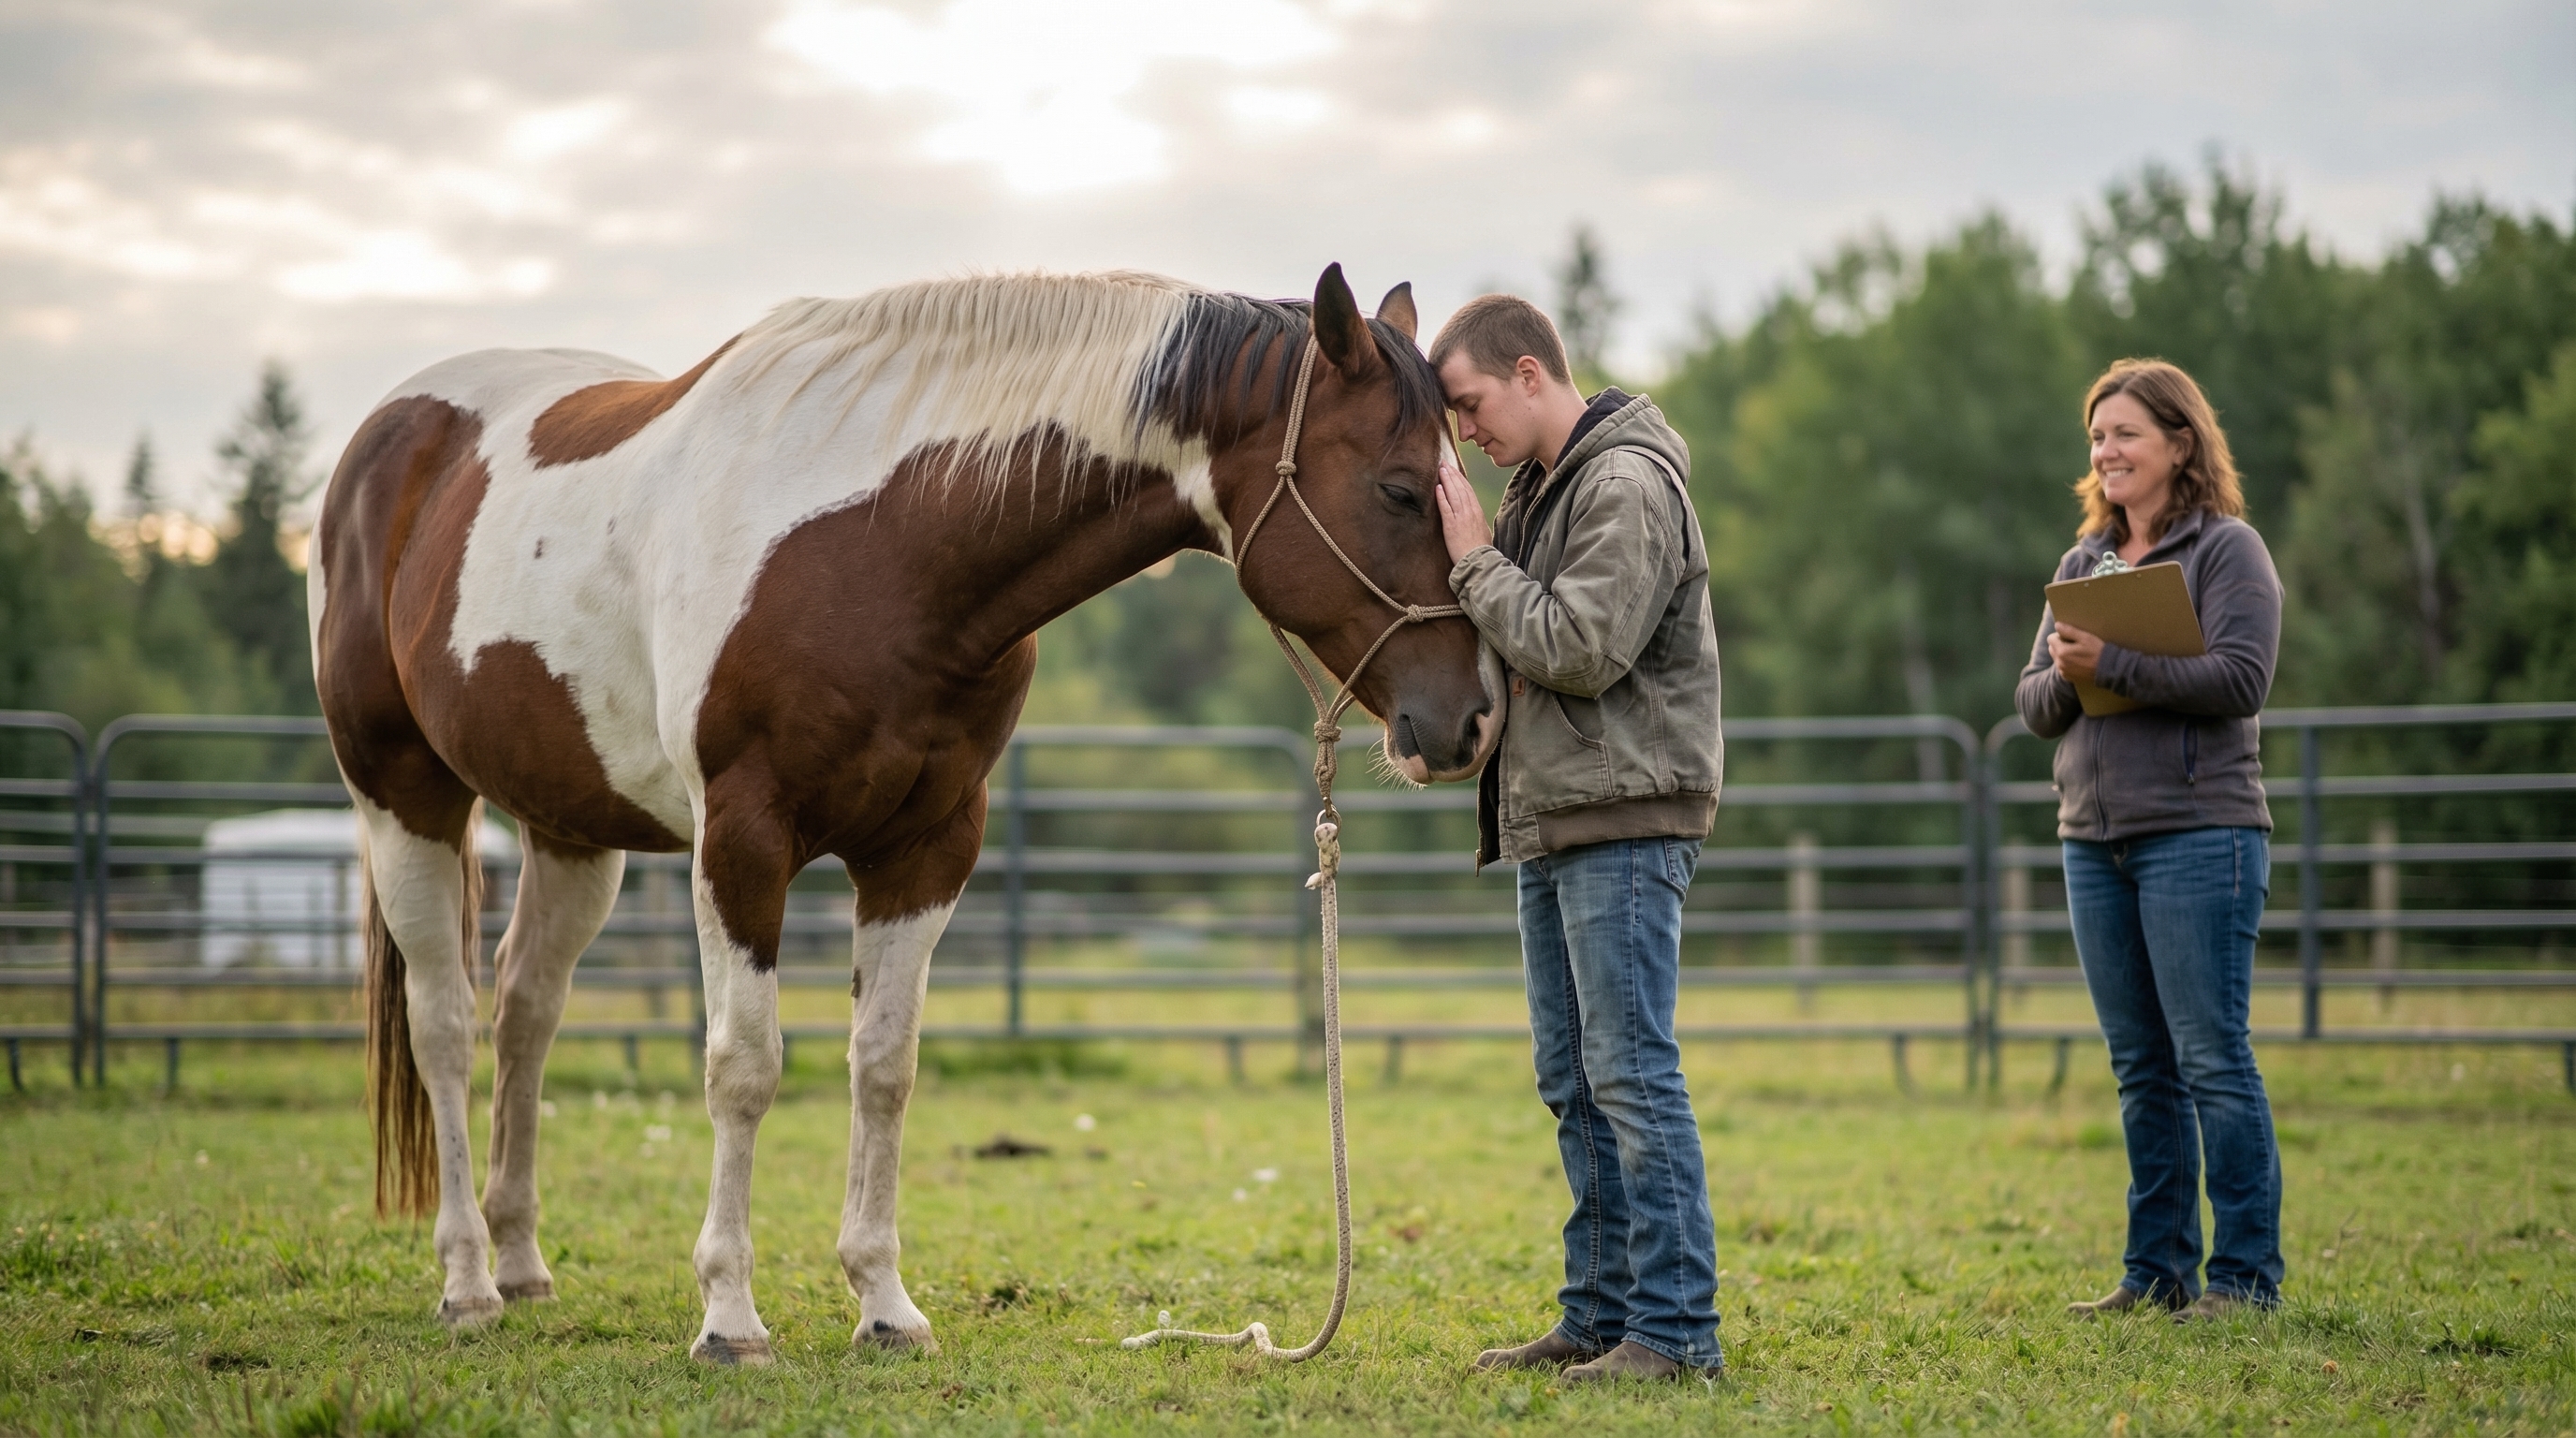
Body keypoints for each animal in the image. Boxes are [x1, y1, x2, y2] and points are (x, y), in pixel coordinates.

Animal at [308, 263, 1498, 1363]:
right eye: (1401, 489)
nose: (1473, 721)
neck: (880, 540)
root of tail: (392, 435)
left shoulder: (928, 847)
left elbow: (884, 1065)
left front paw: (883, 1306)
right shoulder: (741, 843)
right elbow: (744, 1068)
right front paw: (729, 1317)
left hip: (571, 828)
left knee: (526, 1011)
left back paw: (520, 1262)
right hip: (403, 798)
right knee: (445, 1021)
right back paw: (467, 1282)